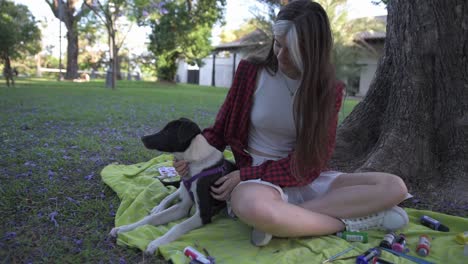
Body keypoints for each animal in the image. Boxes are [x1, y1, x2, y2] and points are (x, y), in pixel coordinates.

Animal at [108, 117, 236, 254]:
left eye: (167, 131)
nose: (143, 138)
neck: (194, 162)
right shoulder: (183, 207)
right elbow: (152, 219)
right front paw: (124, 228)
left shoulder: (203, 214)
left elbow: (178, 227)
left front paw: (156, 243)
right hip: (182, 188)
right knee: (171, 195)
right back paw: (158, 207)